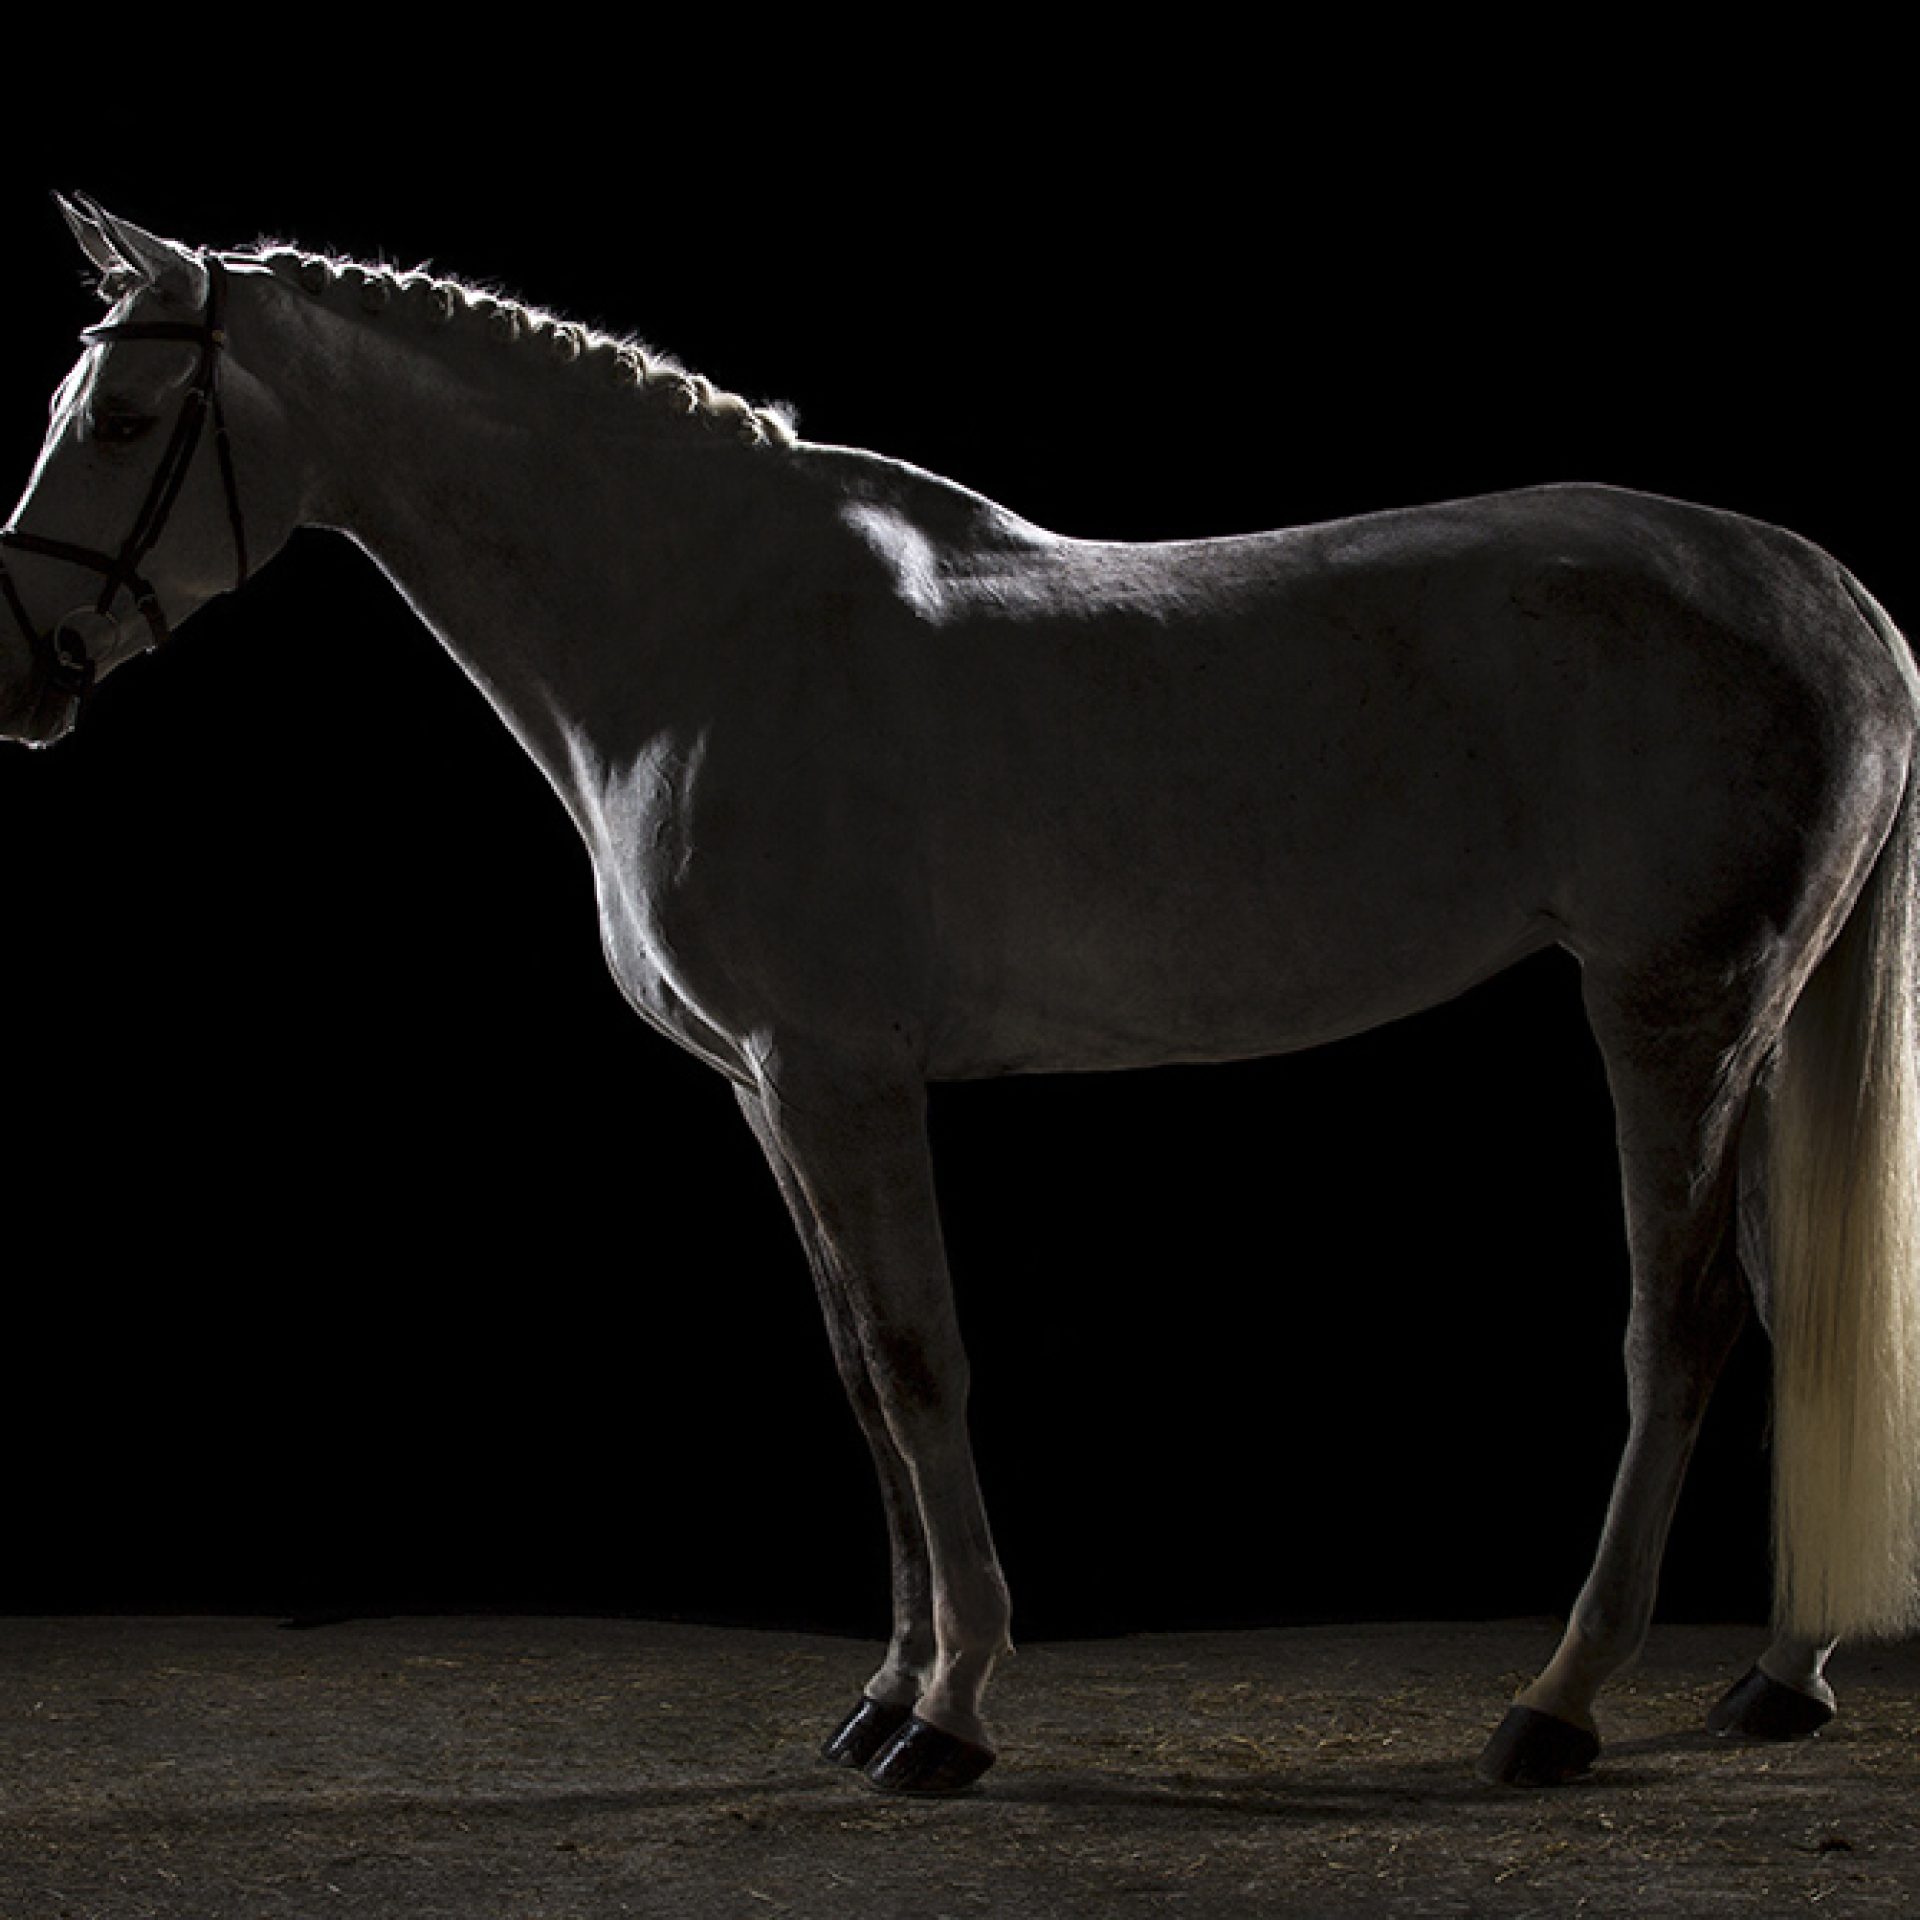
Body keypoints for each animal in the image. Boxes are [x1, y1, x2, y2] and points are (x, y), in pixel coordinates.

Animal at [3, 195, 1915, 1794]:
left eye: (117, 424)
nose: (26, 676)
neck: (708, 636)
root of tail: (1830, 598)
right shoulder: (766, 1091)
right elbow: (861, 1370)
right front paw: (882, 1694)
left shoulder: (839, 1076)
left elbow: (922, 1364)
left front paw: (952, 1713)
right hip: (1757, 1023)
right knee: (1797, 1302)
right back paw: (1781, 1678)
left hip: (1672, 1008)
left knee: (1682, 1327)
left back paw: (1559, 1704)